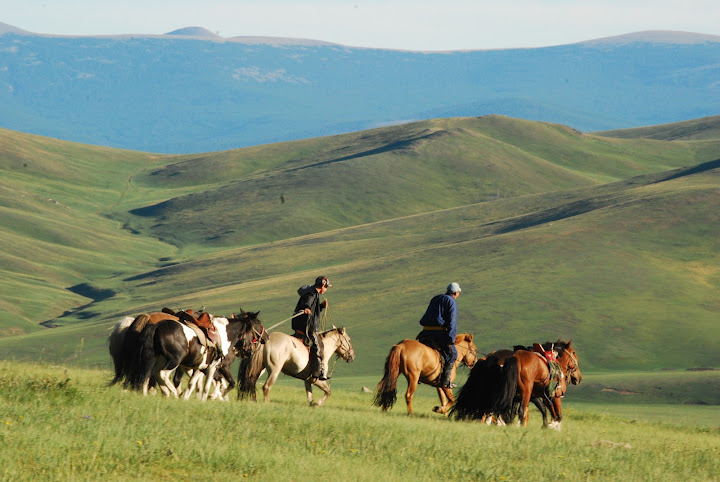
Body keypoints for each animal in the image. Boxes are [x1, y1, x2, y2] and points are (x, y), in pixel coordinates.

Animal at [452, 338, 584, 430]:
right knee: (511, 409)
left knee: (492, 408)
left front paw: (547, 425)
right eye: (574, 352)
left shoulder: (535, 395)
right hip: (523, 391)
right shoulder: (554, 394)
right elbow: (556, 413)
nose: (579, 378)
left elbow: (545, 409)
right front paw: (552, 426)